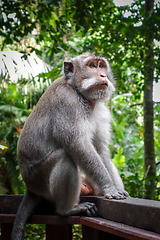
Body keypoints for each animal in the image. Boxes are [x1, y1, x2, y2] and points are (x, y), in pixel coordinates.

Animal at [11, 53, 129, 240]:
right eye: (92, 65)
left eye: (101, 65)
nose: (103, 75)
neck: (79, 92)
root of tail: (30, 187)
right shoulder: (68, 103)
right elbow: (79, 146)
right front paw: (109, 188)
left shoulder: (101, 111)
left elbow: (101, 151)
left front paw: (114, 188)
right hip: (39, 180)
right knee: (64, 156)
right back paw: (67, 210)